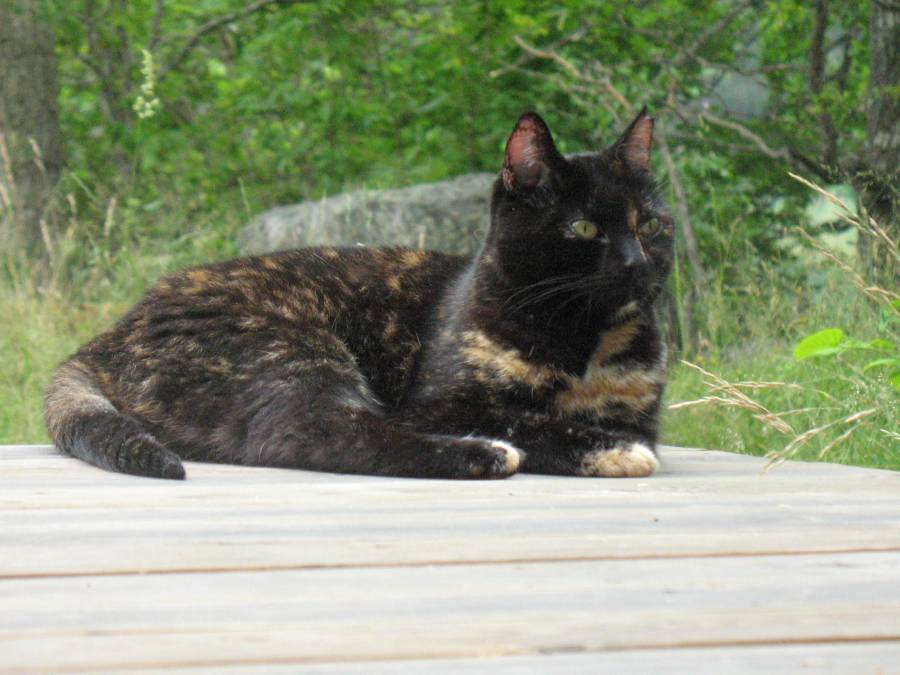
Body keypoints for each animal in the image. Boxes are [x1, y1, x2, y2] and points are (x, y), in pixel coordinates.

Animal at [44, 109, 674, 481]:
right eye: (584, 229)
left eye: (649, 224)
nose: (637, 263)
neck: (583, 343)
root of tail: (108, 336)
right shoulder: (440, 403)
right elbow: (532, 421)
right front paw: (609, 451)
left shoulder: (638, 412)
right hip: (293, 349)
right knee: (312, 434)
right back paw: (484, 453)